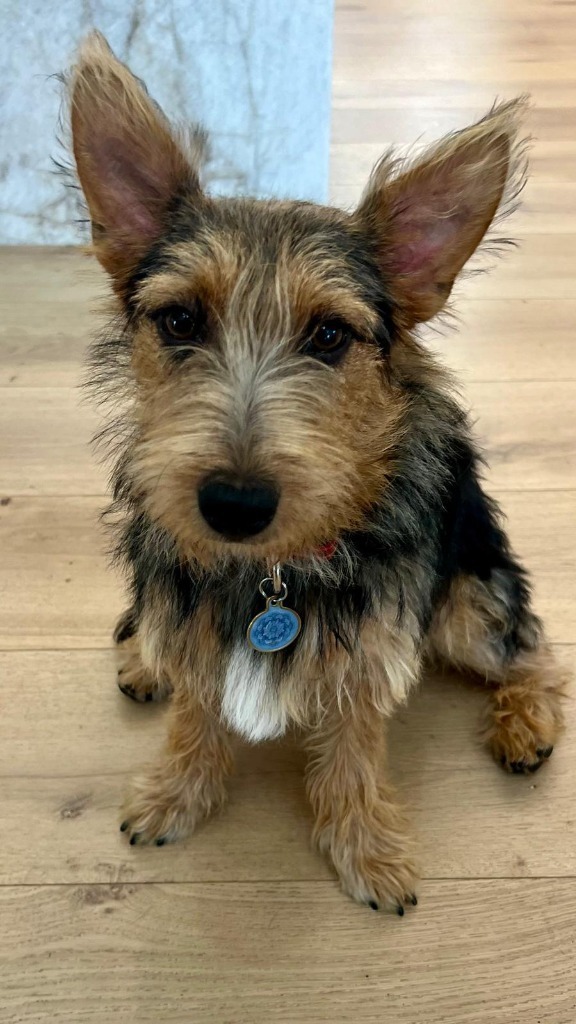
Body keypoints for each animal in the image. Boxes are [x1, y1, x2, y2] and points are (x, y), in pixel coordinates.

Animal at [68, 29, 565, 913]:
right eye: (179, 320)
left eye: (330, 336)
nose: (234, 504)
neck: (266, 570)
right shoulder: (193, 609)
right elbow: (194, 703)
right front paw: (174, 792)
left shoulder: (371, 644)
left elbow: (355, 745)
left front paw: (367, 848)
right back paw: (140, 656)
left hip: (468, 598)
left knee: (534, 647)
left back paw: (524, 723)